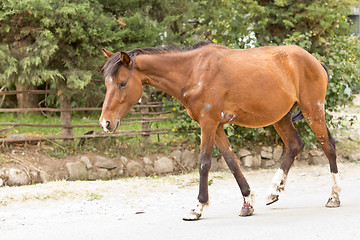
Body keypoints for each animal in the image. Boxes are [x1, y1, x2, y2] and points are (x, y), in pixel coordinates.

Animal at [99, 41, 340, 221]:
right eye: (107, 83)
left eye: (122, 83)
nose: (105, 123)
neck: (193, 71)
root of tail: (314, 61)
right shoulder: (216, 127)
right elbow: (232, 162)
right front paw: (247, 203)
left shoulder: (208, 124)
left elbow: (204, 164)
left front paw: (197, 207)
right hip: (281, 117)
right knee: (294, 145)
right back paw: (274, 191)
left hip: (313, 110)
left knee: (328, 146)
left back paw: (334, 197)